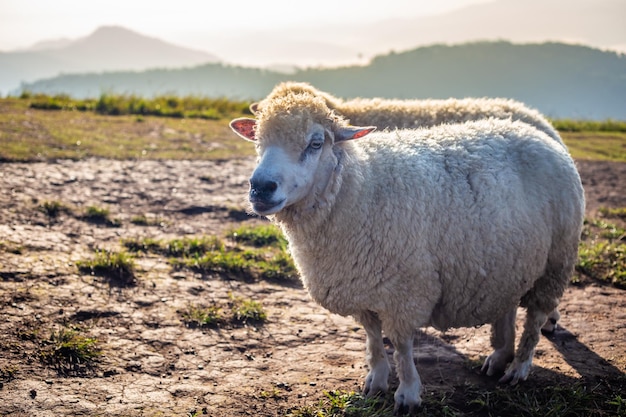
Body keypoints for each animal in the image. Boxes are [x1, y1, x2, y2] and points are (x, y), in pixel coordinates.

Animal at [229, 92, 584, 412]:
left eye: (315, 144)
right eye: (258, 140)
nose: (261, 187)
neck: (357, 187)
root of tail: (536, 131)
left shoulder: (403, 290)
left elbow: (401, 345)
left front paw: (408, 394)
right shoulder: (362, 286)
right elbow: (373, 338)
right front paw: (375, 380)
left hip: (555, 262)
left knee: (535, 317)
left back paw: (518, 367)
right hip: (508, 259)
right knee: (507, 306)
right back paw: (498, 358)